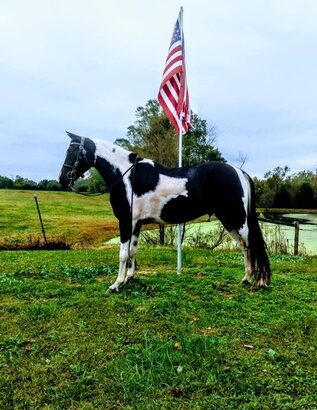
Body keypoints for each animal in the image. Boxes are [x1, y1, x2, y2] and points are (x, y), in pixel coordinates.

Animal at [59, 132, 270, 292]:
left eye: (72, 151)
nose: (62, 179)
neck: (126, 175)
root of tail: (239, 172)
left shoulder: (126, 222)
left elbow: (123, 254)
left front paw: (116, 284)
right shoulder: (136, 224)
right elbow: (133, 251)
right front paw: (129, 279)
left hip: (237, 219)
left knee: (251, 245)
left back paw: (257, 280)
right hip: (229, 220)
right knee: (244, 246)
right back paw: (246, 279)